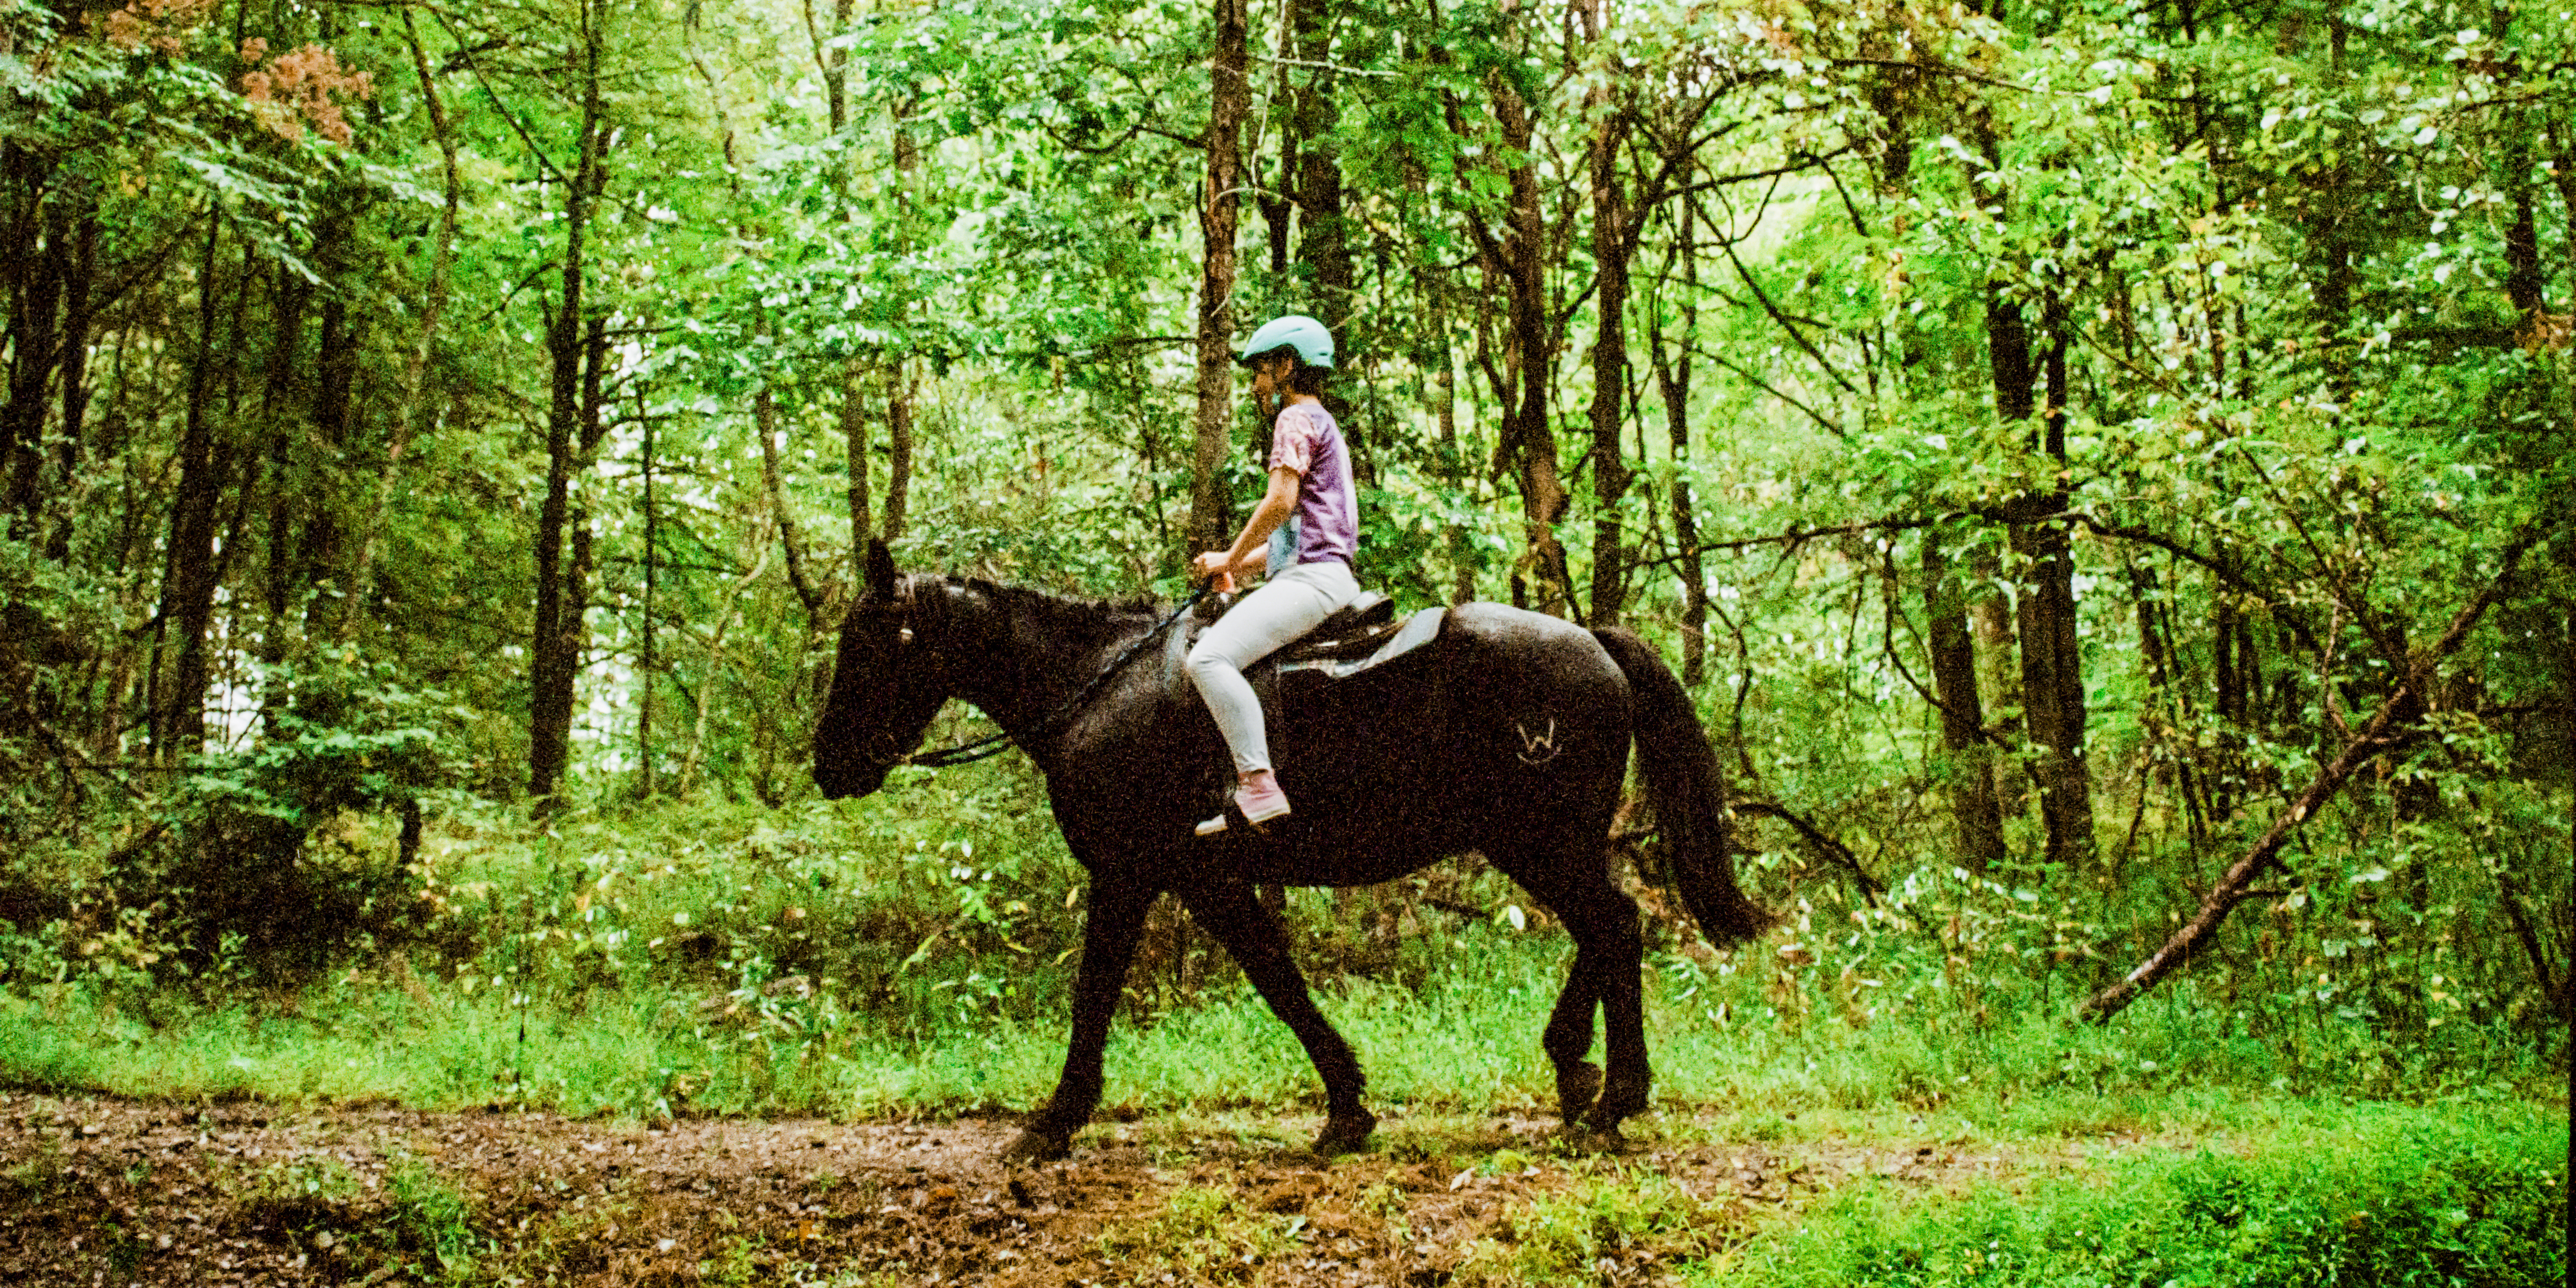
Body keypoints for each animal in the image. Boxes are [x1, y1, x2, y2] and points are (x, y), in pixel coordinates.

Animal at [809, 538, 1772, 1164]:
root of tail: (1593, 641)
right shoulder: (1196, 878)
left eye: (868, 645)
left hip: (1538, 841)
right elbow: (1276, 975)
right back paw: (1578, 1070)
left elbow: (1115, 994)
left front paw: (1053, 1120)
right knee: (1608, 929)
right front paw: (1347, 1106)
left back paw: (1612, 1097)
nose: (827, 765)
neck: (1096, 687)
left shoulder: (1141, 873)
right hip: (1541, 842)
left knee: (1613, 925)